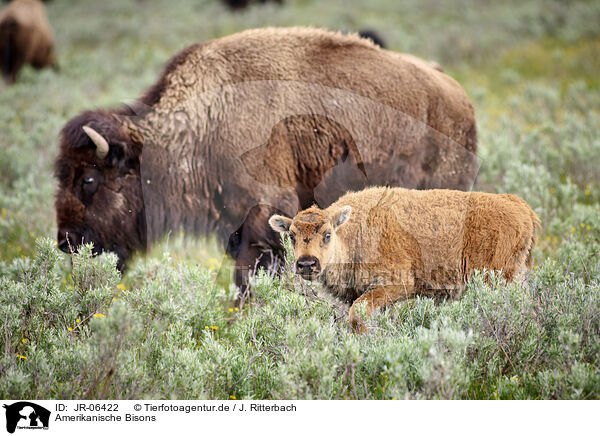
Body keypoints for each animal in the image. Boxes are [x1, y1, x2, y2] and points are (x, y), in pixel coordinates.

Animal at [270, 186, 540, 332]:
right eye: (291, 236)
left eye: (327, 234)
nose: (307, 264)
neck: (353, 232)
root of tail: (521, 206)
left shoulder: (396, 285)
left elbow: (358, 315)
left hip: (496, 280)